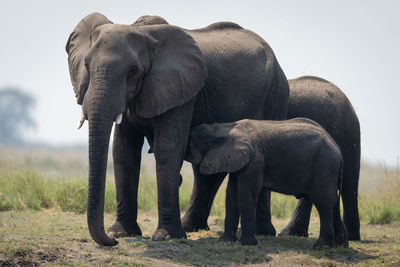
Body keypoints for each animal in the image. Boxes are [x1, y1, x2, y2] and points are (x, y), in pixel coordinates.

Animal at [66, 13, 290, 246]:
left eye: (133, 71)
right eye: (86, 65)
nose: (112, 242)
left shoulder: (182, 90)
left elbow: (168, 148)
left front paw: (164, 236)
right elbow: (123, 151)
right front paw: (121, 233)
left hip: (276, 95)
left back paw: (264, 233)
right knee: (205, 172)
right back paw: (191, 227)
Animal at [186, 119, 348, 249]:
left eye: (189, 142)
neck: (223, 127)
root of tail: (338, 151)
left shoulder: (255, 161)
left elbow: (245, 194)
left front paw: (247, 244)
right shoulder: (238, 161)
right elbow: (231, 195)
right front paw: (225, 241)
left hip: (324, 166)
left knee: (322, 202)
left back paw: (321, 247)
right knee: (333, 202)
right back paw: (341, 245)